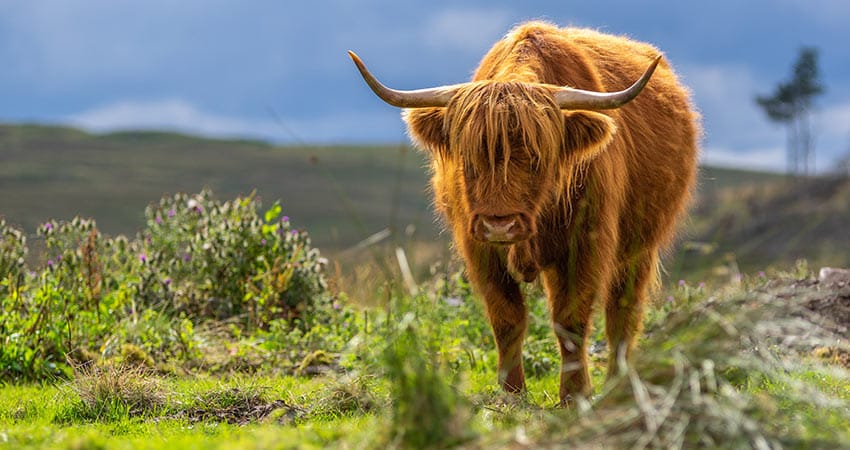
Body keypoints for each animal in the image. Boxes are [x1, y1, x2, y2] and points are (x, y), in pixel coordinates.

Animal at [348, 20, 700, 404]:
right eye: (469, 158)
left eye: (537, 157)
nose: (500, 225)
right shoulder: (479, 248)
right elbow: (506, 317)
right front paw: (511, 393)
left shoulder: (585, 244)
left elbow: (571, 319)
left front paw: (573, 395)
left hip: (639, 248)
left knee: (622, 315)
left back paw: (618, 385)